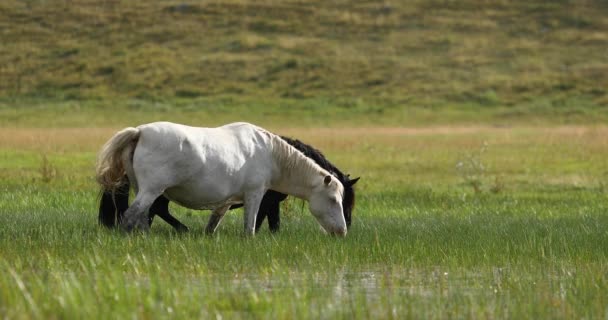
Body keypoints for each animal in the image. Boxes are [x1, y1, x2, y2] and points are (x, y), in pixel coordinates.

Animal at [98, 121, 350, 236]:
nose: (342, 231)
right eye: (334, 200)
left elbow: (212, 225)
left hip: (144, 190)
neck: (269, 153)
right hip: (151, 190)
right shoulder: (255, 195)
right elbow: (250, 227)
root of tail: (140, 131)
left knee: (142, 216)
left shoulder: (225, 202)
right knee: (132, 216)